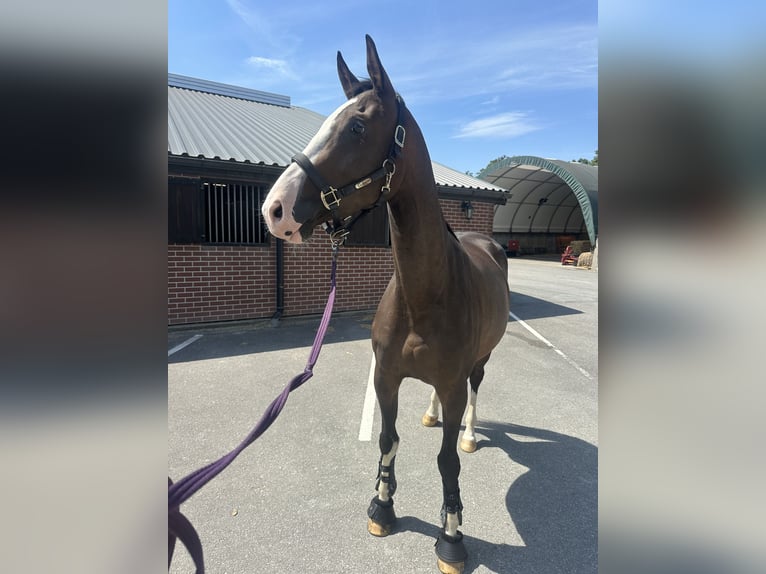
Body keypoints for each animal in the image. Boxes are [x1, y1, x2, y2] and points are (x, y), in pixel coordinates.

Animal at [262, 36, 510, 574]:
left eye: (357, 126)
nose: (275, 209)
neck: (426, 295)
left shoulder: (452, 383)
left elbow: (446, 461)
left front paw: (451, 536)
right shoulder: (387, 377)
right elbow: (388, 440)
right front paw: (382, 507)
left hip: (480, 362)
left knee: (474, 394)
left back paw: (468, 433)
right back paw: (432, 416)